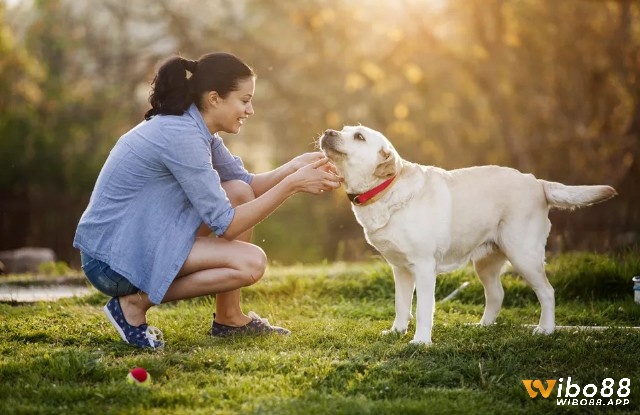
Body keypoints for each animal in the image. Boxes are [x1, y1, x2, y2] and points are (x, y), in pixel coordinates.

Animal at [320, 125, 616, 346]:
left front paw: (420, 341)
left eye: (359, 137)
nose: (327, 131)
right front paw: (396, 331)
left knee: (547, 292)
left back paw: (546, 330)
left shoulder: (423, 266)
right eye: (344, 129)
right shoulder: (400, 269)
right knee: (497, 294)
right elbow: (401, 305)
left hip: (524, 255)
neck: (384, 190)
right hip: (485, 262)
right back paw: (482, 326)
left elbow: (424, 308)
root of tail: (537, 182)